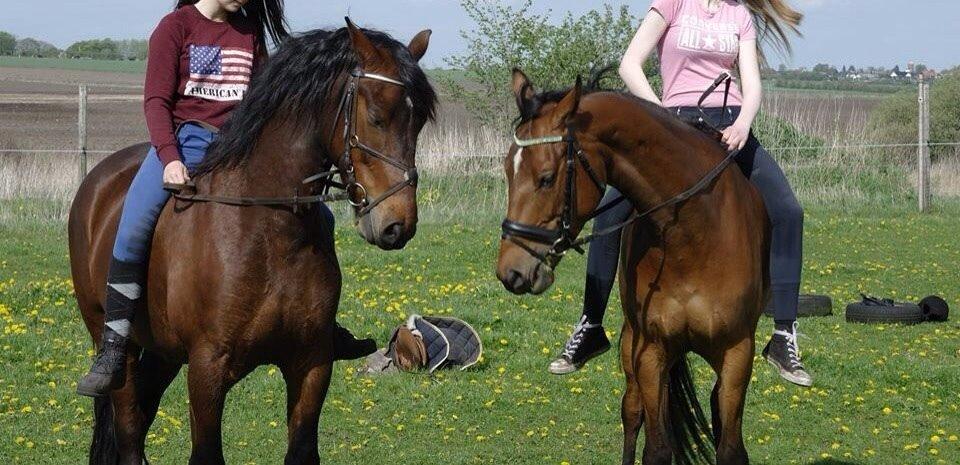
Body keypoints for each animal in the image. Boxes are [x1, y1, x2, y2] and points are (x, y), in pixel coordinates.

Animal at [69, 19, 436, 464]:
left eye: (418, 123)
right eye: (377, 116)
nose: (398, 225)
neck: (269, 231)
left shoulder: (311, 363)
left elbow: (302, 449)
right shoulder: (207, 367)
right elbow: (206, 453)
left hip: (163, 350)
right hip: (112, 340)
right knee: (128, 426)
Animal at [498, 69, 768, 464]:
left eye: (546, 177)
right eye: (507, 171)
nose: (510, 271)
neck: (692, 232)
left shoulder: (737, 352)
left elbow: (730, 447)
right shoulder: (651, 351)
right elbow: (656, 448)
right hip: (631, 345)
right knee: (633, 412)